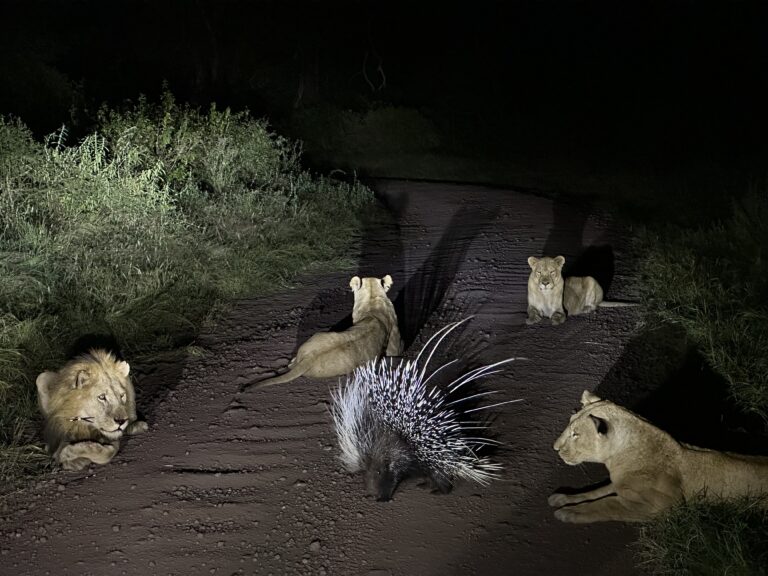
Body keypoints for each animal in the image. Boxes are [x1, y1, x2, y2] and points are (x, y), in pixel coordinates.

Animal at [548, 392, 768, 520]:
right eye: (570, 423)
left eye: (575, 434)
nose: (555, 448)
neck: (616, 456)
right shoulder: (621, 484)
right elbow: (598, 491)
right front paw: (563, 498)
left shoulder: (660, 506)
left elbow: (606, 504)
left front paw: (570, 513)